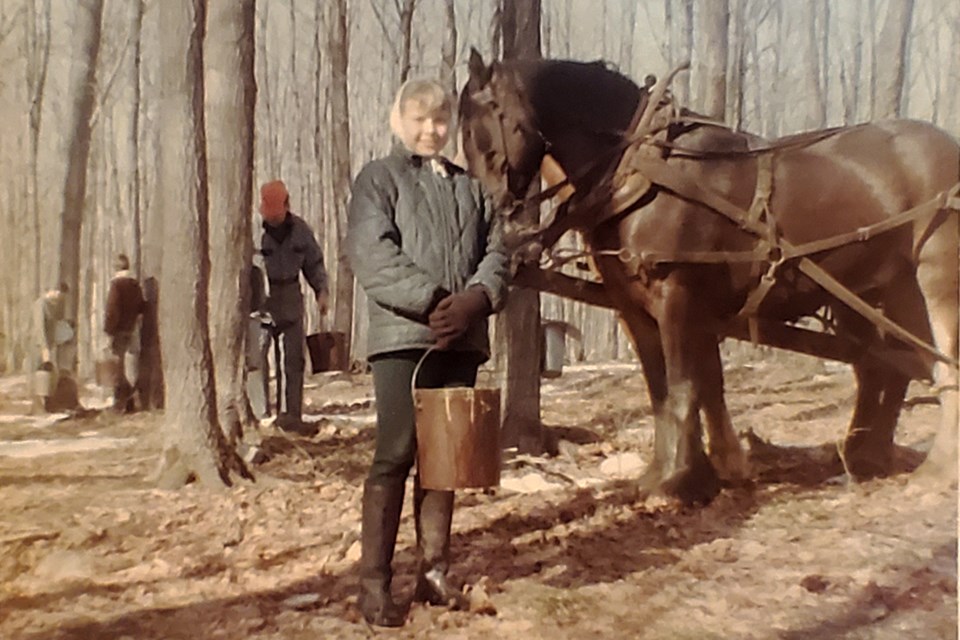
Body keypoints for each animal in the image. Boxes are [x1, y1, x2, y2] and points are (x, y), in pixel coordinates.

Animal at [462, 50, 956, 504]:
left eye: (483, 130)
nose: (500, 221)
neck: (640, 171)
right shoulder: (635, 306)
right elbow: (666, 389)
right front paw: (675, 475)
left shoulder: (677, 295)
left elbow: (685, 388)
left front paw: (677, 481)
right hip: (872, 292)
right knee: (883, 367)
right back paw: (865, 456)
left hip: (932, 278)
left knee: (937, 359)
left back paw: (934, 470)